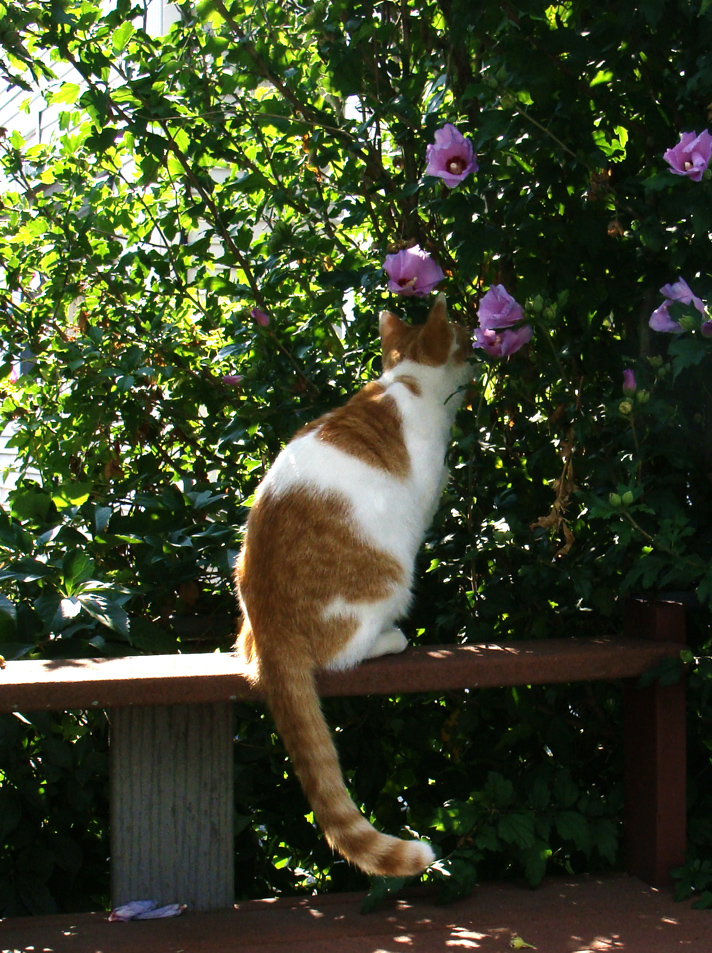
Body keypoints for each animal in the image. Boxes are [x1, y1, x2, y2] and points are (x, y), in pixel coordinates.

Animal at [234, 292, 472, 876]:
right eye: (462, 338)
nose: (480, 350)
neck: (405, 379)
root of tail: (268, 628)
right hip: (388, 579)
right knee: (347, 653)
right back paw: (391, 638)